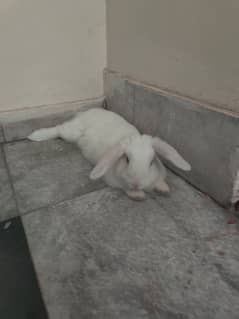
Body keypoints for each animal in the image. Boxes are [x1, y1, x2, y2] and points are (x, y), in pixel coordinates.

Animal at [27, 109, 190, 201]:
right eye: (127, 159)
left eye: (151, 162)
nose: (136, 183)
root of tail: (84, 113)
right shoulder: (115, 182)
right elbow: (126, 189)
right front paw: (138, 196)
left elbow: (160, 181)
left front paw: (164, 189)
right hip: (71, 132)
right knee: (58, 129)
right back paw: (35, 136)